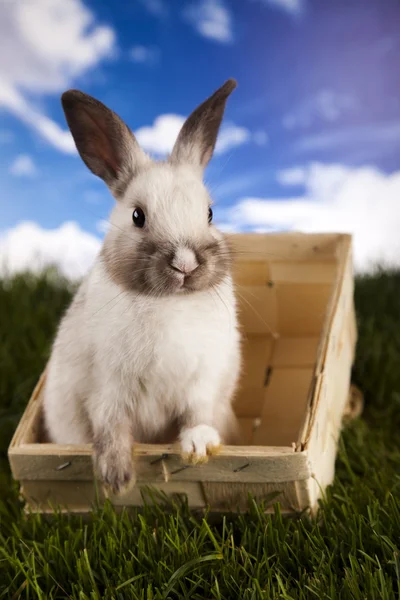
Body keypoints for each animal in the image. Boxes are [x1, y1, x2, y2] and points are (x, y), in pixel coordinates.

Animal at [44, 79, 244, 494]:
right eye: (138, 216)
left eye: (210, 213)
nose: (185, 264)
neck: (171, 302)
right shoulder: (107, 386)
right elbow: (111, 425)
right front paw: (116, 480)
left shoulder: (204, 380)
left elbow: (196, 414)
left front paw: (199, 447)